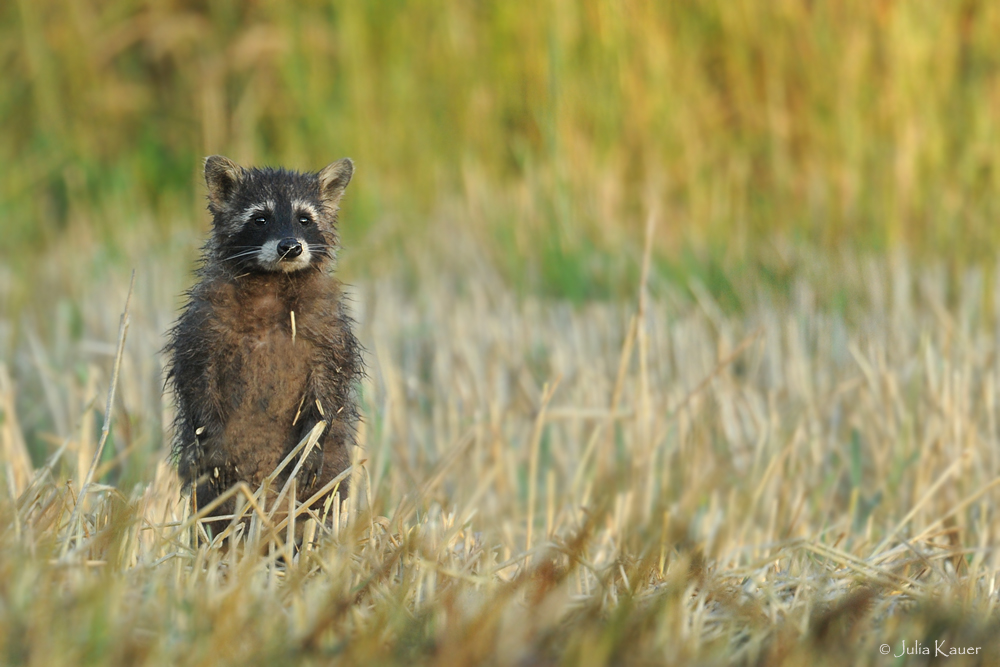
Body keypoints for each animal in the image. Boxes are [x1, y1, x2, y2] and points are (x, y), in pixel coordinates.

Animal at [164, 155, 364, 520]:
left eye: (304, 218)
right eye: (260, 218)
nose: (290, 248)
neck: (273, 281)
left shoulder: (328, 324)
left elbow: (330, 387)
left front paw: (313, 439)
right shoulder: (203, 320)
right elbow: (196, 377)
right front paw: (211, 437)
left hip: (329, 479)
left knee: (324, 506)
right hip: (212, 493)